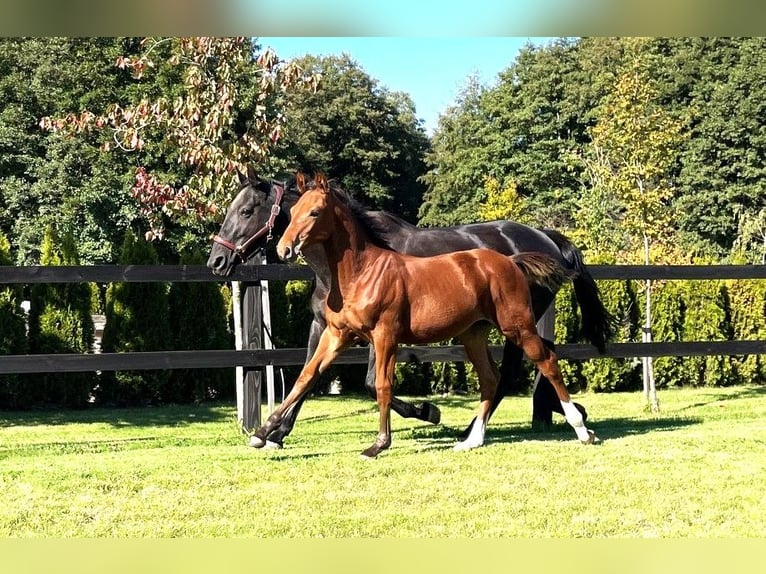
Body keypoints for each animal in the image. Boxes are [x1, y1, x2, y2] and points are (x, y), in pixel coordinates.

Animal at [207, 167, 613, 448]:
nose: (216, 261)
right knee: (515, 368)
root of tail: (547, 238)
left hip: (515, 322)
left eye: (246, 211)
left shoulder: (379, 333)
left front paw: (427, 411)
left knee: (519, 367)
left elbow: (372, 383)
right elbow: (306, 376)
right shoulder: (325, 326)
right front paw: (272, 433)